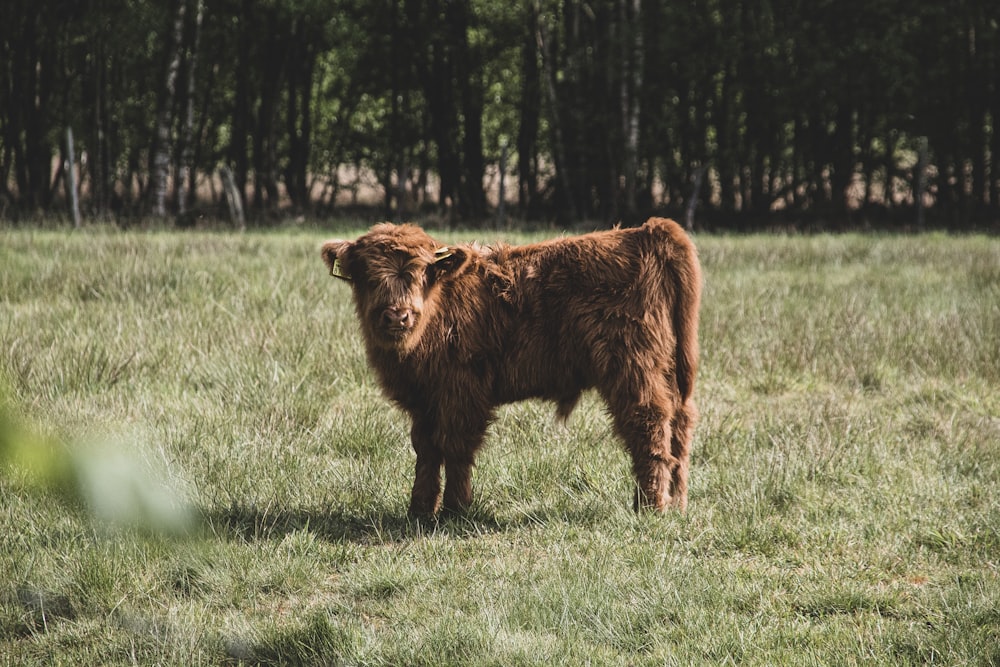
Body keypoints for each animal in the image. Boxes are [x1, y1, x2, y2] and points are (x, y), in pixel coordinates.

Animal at [322, 219, 704, 516]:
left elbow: (455, 447)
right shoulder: (424, 399)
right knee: (679, 426)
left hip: (634, 368)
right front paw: (419, 510)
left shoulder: (462, 392)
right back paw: (677, 504)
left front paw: (454, 510)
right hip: (669, 370)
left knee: (649, 424)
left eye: (421, 275)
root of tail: (647, 230)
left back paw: (651, 506)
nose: (397, 316)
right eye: (369, 278)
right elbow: (426, 450)